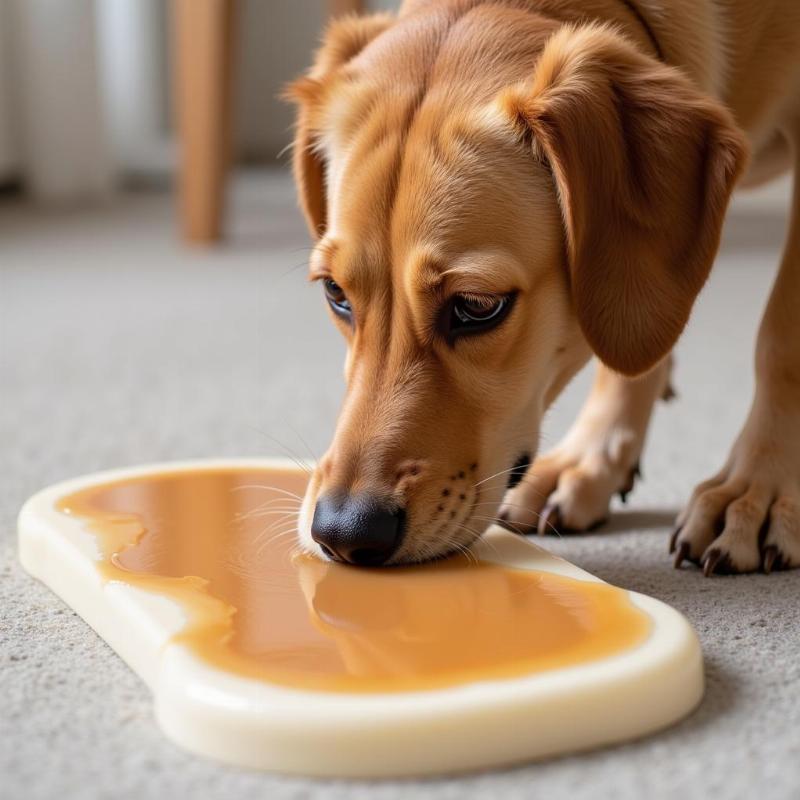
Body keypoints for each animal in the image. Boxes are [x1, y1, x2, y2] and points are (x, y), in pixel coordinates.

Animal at [288, 0, 800, 576]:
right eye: (336, 294)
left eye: (477, 307)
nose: (343, 532)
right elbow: (632, 352)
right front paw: (591, 459)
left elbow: (782, 337)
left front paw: (758, 487)